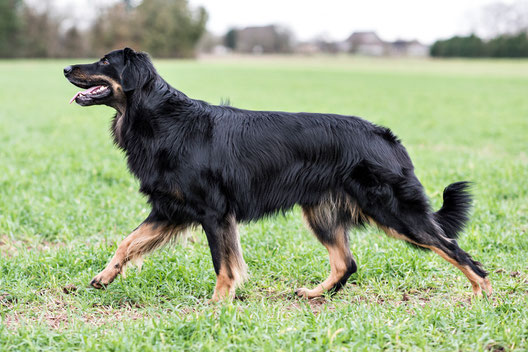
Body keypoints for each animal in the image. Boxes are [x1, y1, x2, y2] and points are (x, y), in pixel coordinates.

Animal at [64, 48, 492, 302]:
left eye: (105, 62)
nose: (66, 67)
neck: (163, 121)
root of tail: (386, 137)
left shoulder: (214, 213)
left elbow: (223, 264)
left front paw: (218, 305)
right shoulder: (171, 210)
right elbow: (126, 242)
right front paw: (104, 276)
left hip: (394, 211)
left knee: (456, 250)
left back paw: (484, 294)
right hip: (321, 213)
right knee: (346, 263)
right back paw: (315, 294)